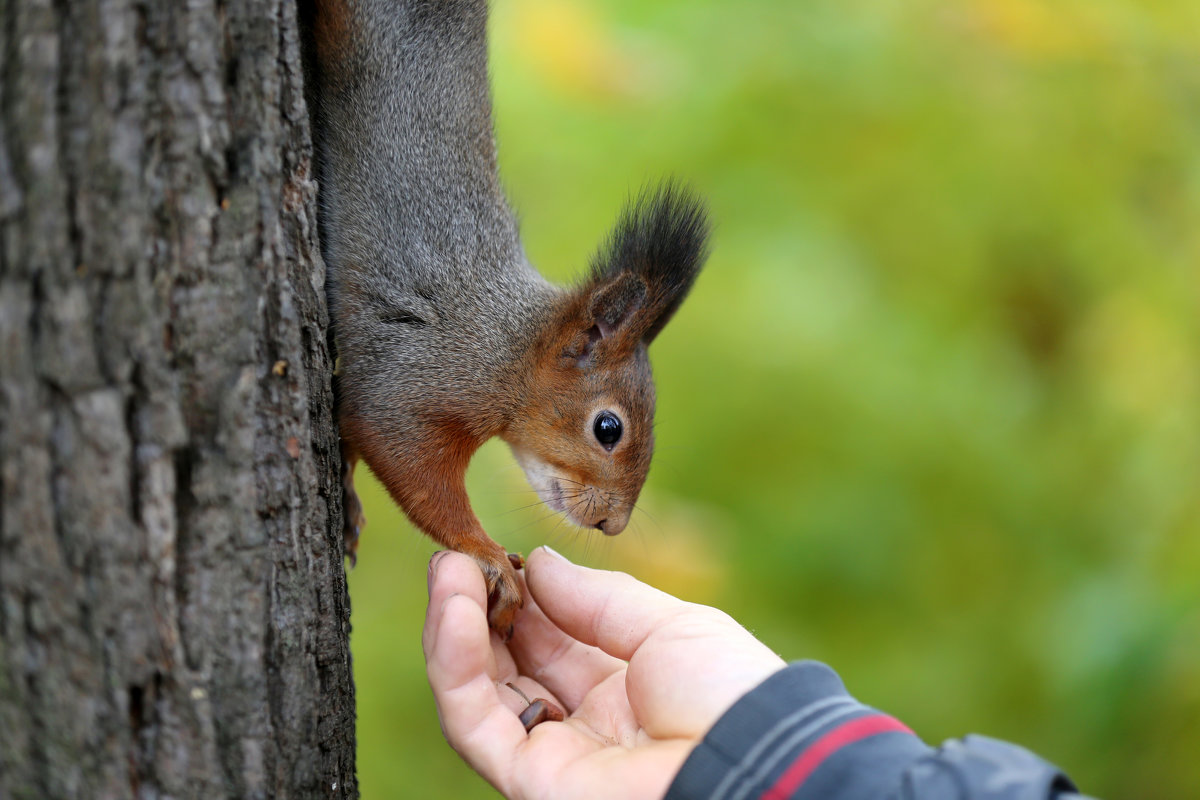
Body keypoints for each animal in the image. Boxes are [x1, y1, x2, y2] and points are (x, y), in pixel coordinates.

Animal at [304, 0, 710, 638]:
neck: (508, 345)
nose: (614, 525)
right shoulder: (419, 376)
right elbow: (404, 459)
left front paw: (346, 496)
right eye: (608, 428)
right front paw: (488, 552)